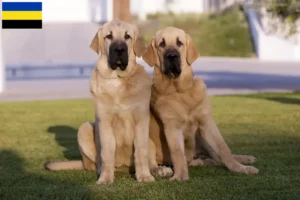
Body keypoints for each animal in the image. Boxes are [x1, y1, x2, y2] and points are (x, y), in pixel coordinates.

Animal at [44, 20, 155, 184]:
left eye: (127, 36)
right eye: (109, 36)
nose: (119, 49)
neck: (117, 80)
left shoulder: (141, 120)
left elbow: (141, 152)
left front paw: (144, 176)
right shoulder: (104, 122)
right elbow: (107, 153)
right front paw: (105, 178)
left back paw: (160, 170)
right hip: (84, 129)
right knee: (93, 164)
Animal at [143, 25, 258, 180]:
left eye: (179, 43)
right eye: (162, 44)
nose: (172, 56)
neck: (181, 91)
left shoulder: (206, 122)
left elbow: (224, 149)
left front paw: (240, 168)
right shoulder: (172, 127)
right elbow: (177, 153)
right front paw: (180, 176)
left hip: (201, 139)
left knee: (217, 157)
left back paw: (244, 158)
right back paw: (163, 169)